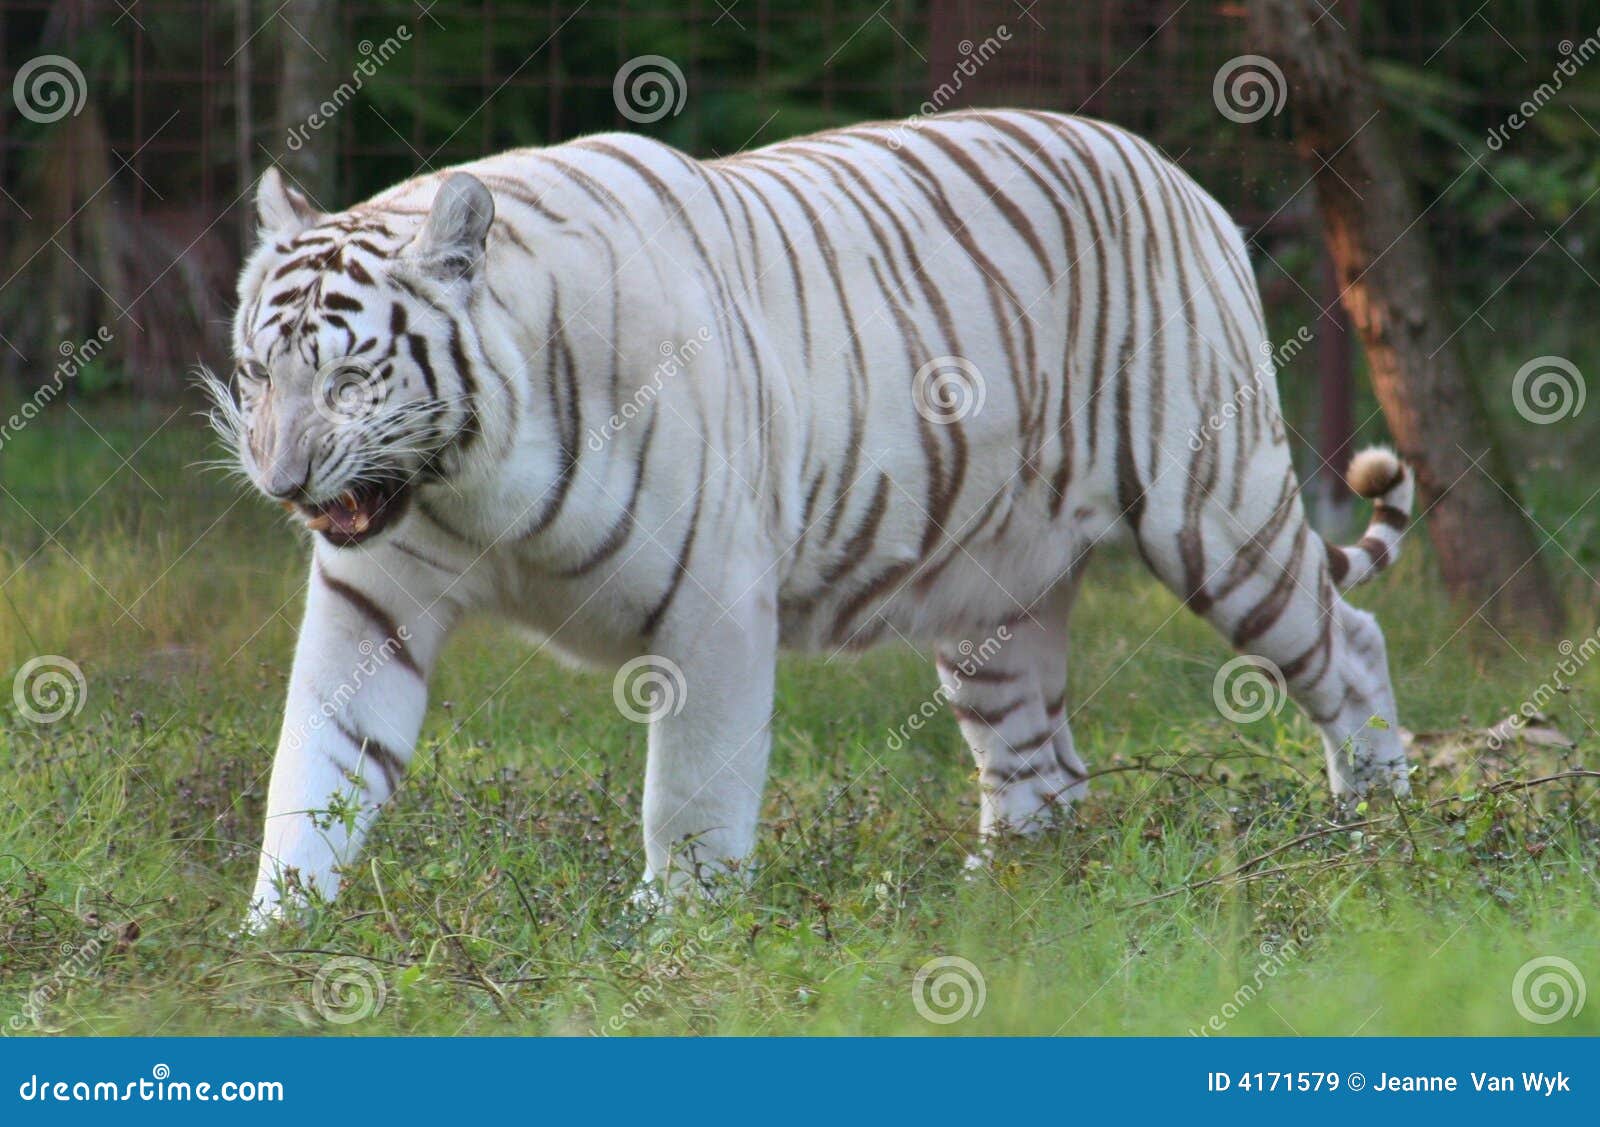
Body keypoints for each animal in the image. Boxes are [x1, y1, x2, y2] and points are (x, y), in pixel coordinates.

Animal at [209, 108, 1414, 922]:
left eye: (350, 376)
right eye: (259, 371)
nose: (279, 481)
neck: (467, 481)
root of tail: (1172, 170)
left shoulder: (711, 603)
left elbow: (688, 792)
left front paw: (673, 933)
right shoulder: (371, 603)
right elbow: (315, 764)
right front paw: (279, 931)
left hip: (1212, 508)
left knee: (1348, 642)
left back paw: (1382, 837)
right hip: (992, 600)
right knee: (1041, 769)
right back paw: (991, 904)